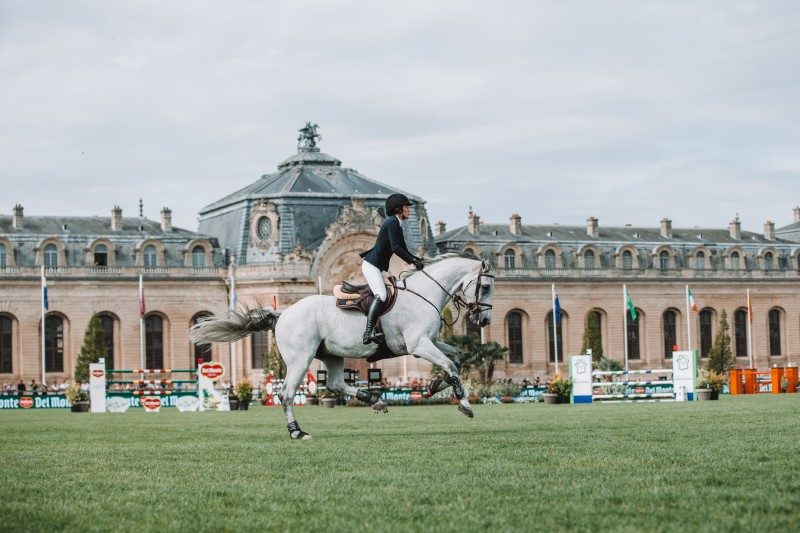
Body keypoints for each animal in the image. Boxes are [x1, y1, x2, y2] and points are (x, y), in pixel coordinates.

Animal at [191, 251, 496, 438]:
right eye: (486, 286)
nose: (483, 320)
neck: (424, 293)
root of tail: (283, 313)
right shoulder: (418, 345)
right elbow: (450, 365)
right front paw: (464, 403)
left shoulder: (427, 343)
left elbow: (456, 357)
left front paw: (435, 385)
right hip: (301, 359)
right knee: (286, 394)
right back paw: (297, 431)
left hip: (332, 354)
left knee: (335, 383)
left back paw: (374, 400)